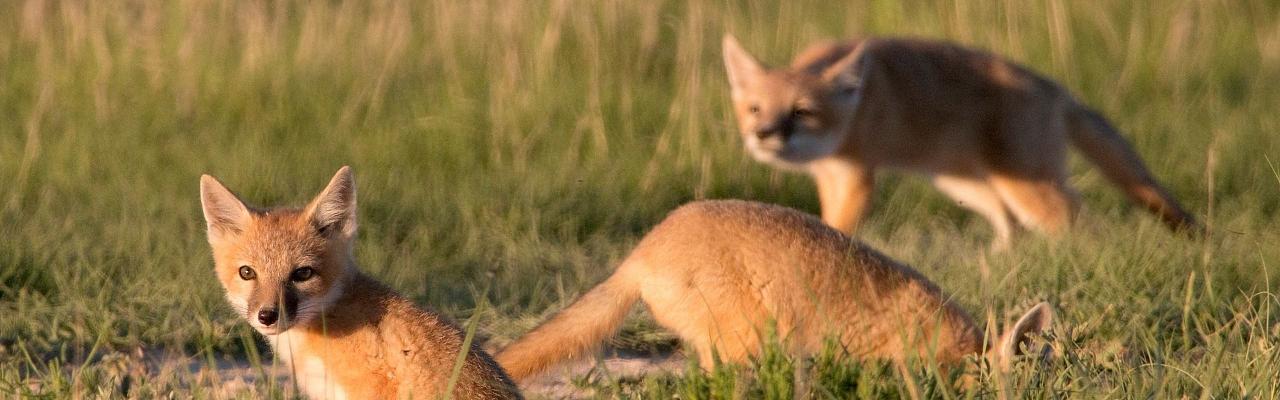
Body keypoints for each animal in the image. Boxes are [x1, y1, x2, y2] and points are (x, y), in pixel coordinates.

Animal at [721, 34, 1198, 248]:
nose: (763, 135)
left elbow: (838, 226)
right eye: (755, 109)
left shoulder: (856, 176)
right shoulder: (830, 176)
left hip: (1026, 188)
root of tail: (1056, 89)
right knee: (1009, 224)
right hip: (962, 183)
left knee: (1080, 223)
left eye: (801, 112)